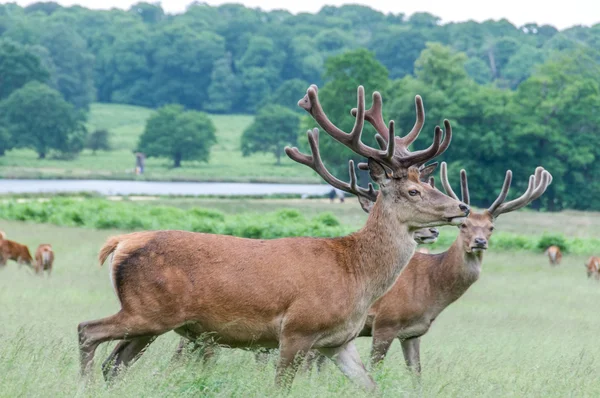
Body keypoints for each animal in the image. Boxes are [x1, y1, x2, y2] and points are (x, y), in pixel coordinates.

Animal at [76, 85, 468, 390]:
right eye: (414, 191)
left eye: (429, 184)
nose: (462, 207)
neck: (355, 273)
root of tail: (120, 243)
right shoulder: (297, 329)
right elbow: (281, 386)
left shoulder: (339, 341)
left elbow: (371, 386)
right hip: (148, 310)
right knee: (86, 330)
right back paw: (83, 386)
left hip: (152, 322)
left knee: (114, 364)